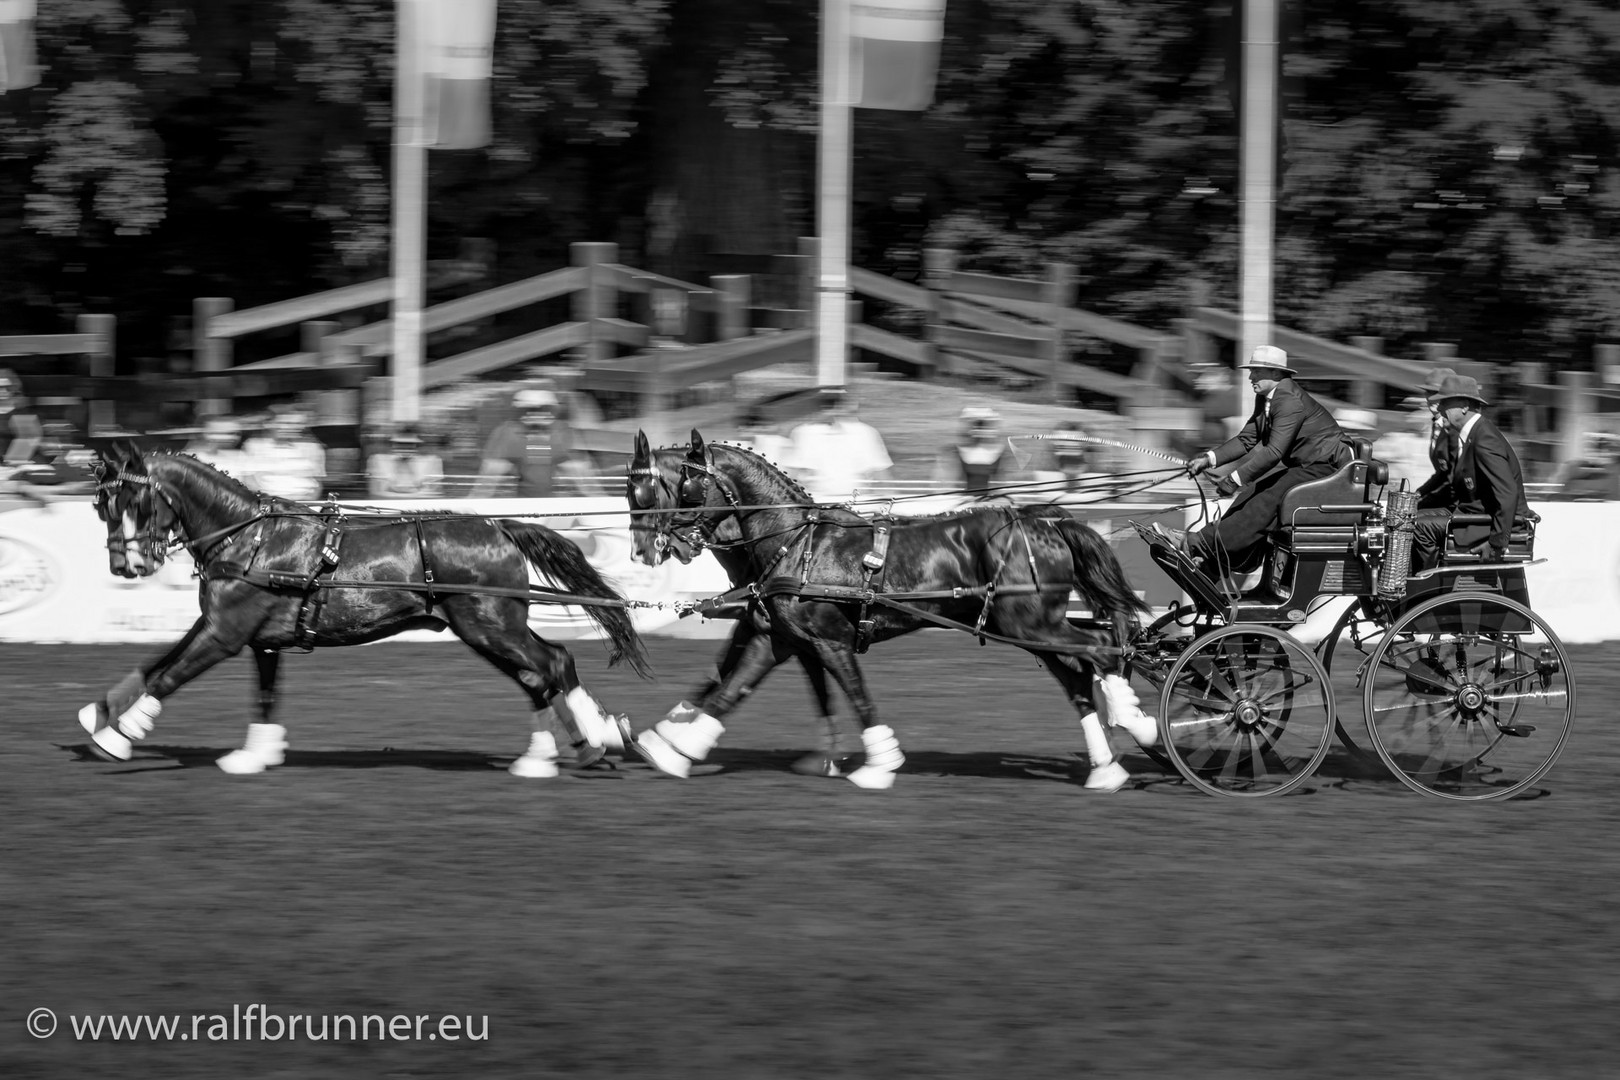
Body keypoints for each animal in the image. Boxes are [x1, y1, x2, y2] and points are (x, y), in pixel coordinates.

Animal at [80, 440, 651, 777]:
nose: (125, 566)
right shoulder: (253, 637)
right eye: (100, 506)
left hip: (491, 625)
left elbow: (167, 677)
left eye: (134, 503)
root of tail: (499, 526)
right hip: (486, 629)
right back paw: (554, 750)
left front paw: (117, 737)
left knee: (554, 664)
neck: (249, 538)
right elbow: (199, 675)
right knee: (538, 676)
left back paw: (594, 738)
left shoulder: (224, 634)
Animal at [625, 430, 1159, 793]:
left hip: (1032, 622)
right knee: (1079, 674)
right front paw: (671, 748)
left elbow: (855, 695)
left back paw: (1135, 721)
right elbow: (727, 689)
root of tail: (1044, 518)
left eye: (667, 491)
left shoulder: (827, 640)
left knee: (1104, 648)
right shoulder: (773, 636)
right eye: (632, 494)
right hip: (1027, 626)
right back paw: (1106, 767)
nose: (647, 552)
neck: (796, 543)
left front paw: (877, 765)